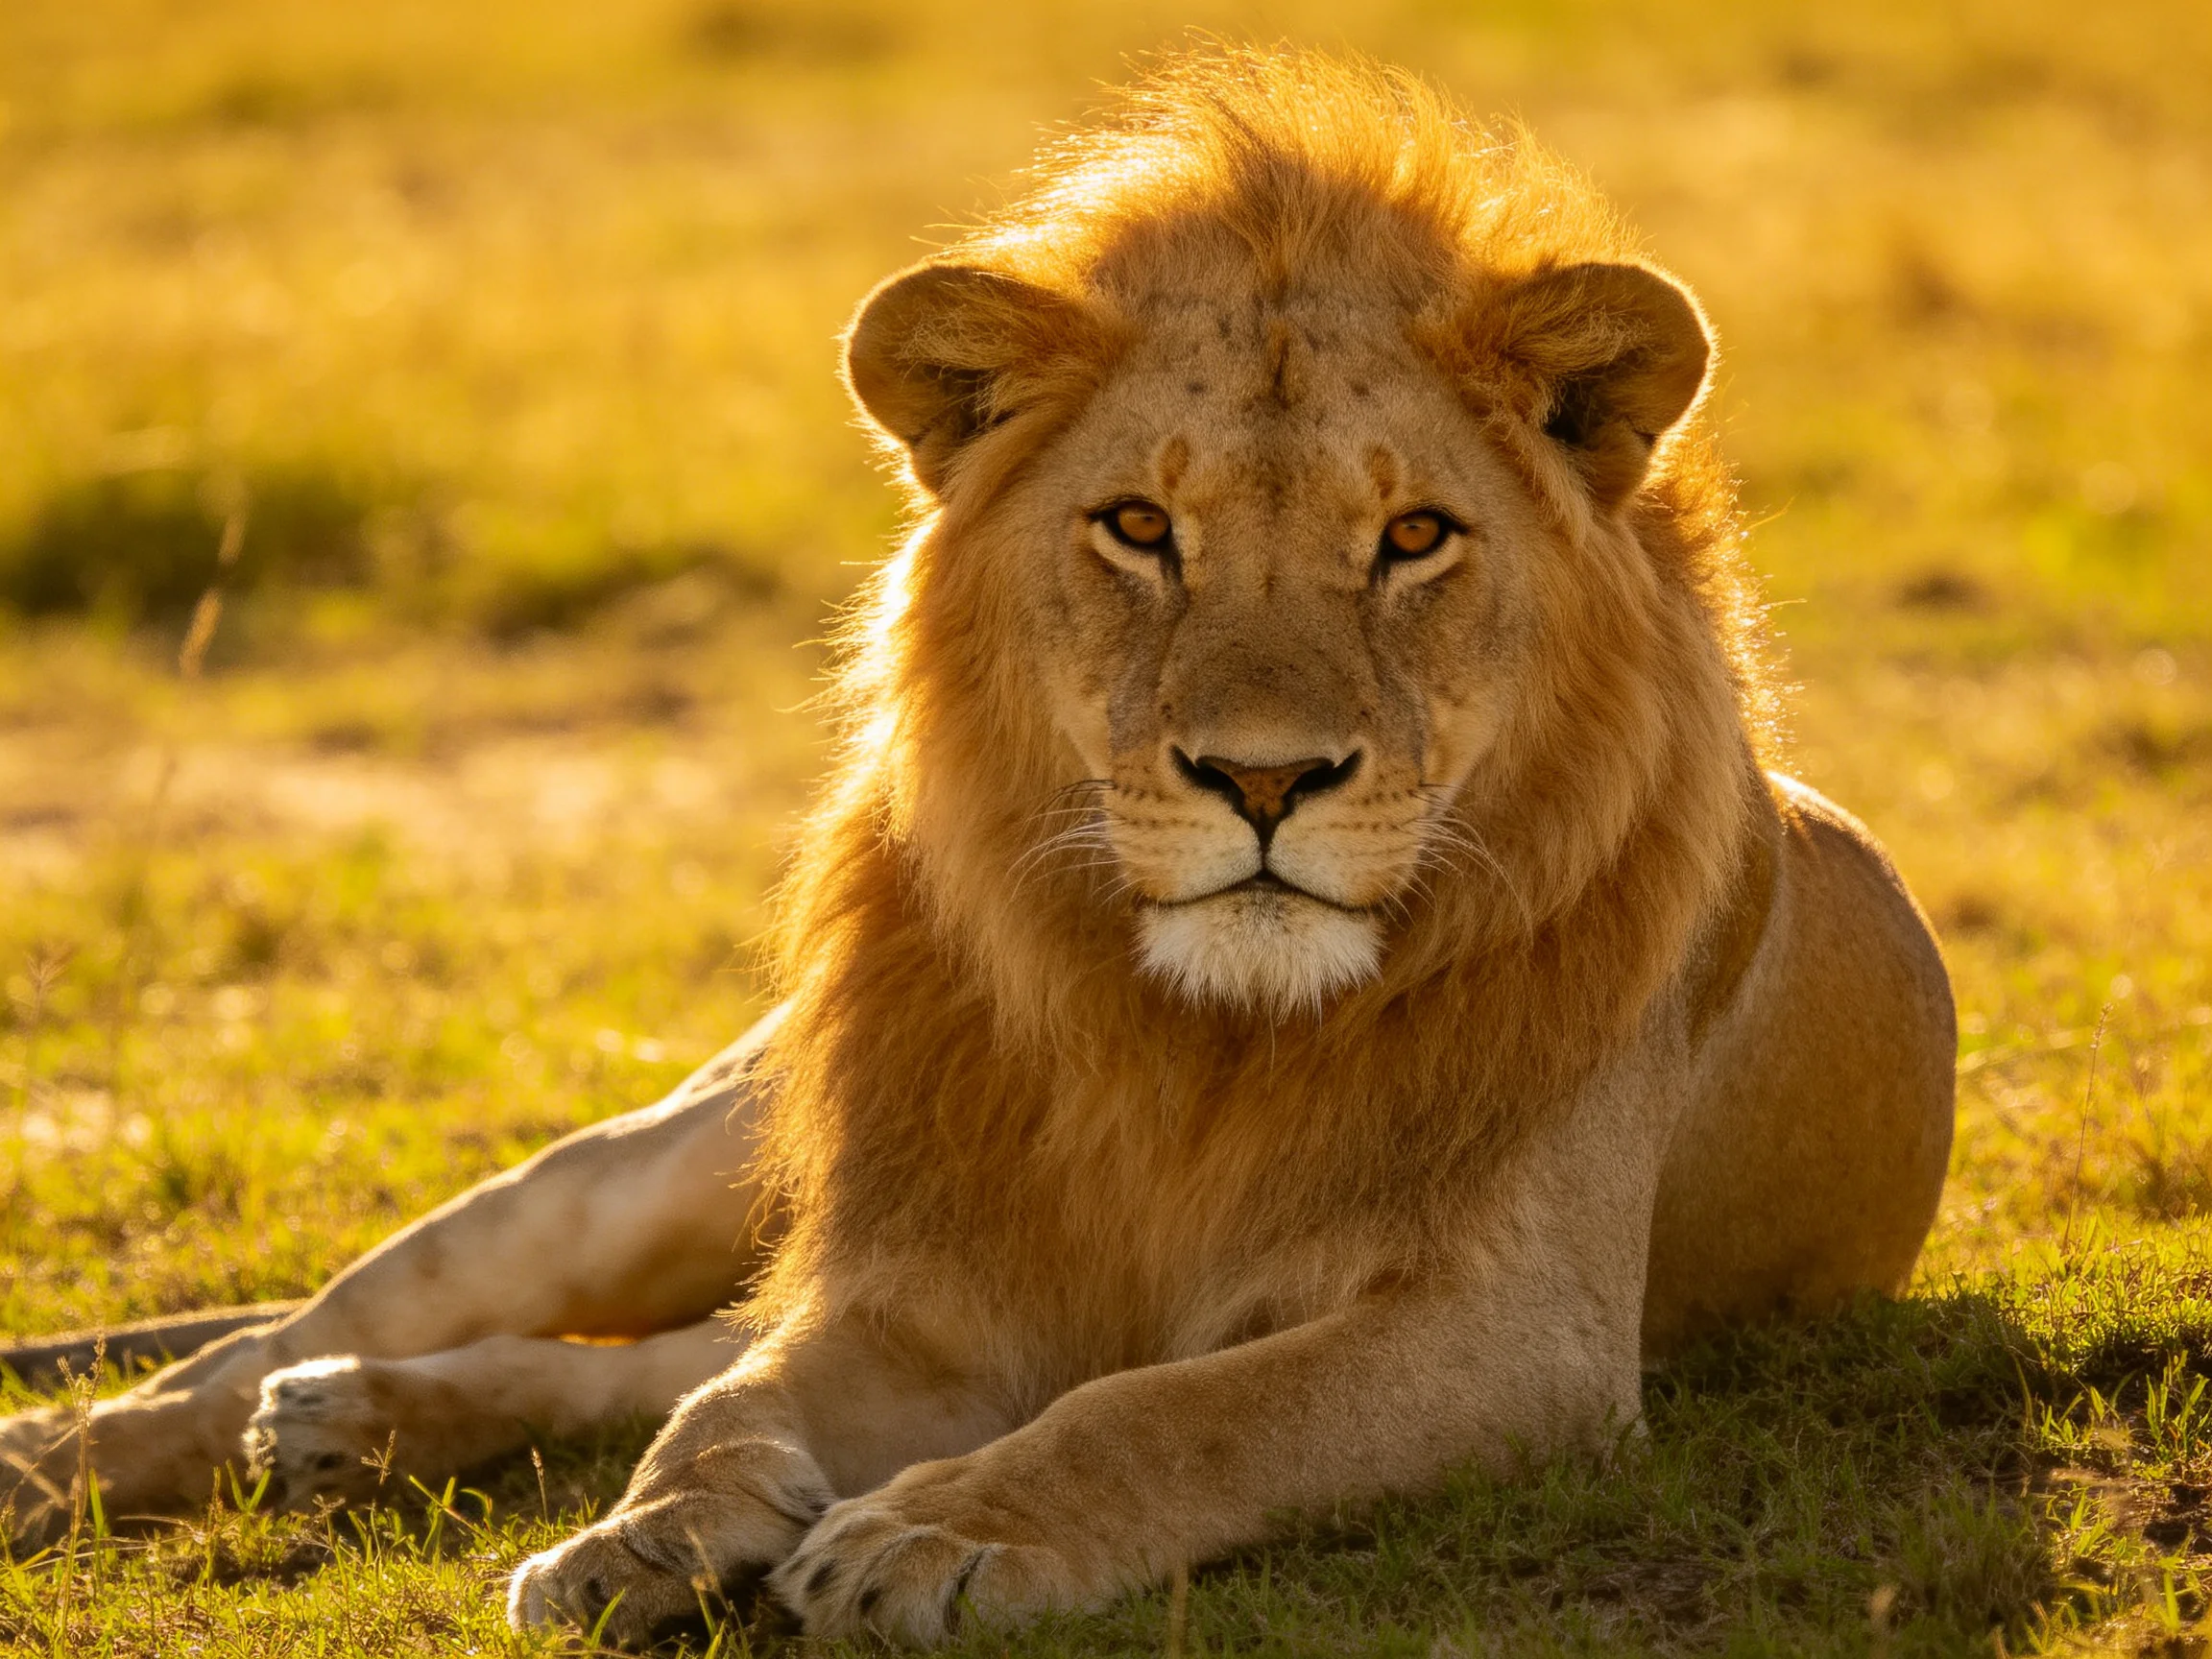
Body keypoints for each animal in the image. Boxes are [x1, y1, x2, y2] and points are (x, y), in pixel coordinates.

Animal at [0, 49, 1955, 1649]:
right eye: (1138, 527)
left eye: (1413, 536)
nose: (1262, 780)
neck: (1194, 1036)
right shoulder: (928, 1285)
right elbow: (733, 1407)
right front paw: (647, 1537)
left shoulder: (1517, 1333)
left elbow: (1179, 1405)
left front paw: (929, 1533)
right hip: (649, 1166)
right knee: (303, 1338)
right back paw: (118, 1443)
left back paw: (351, 1421)